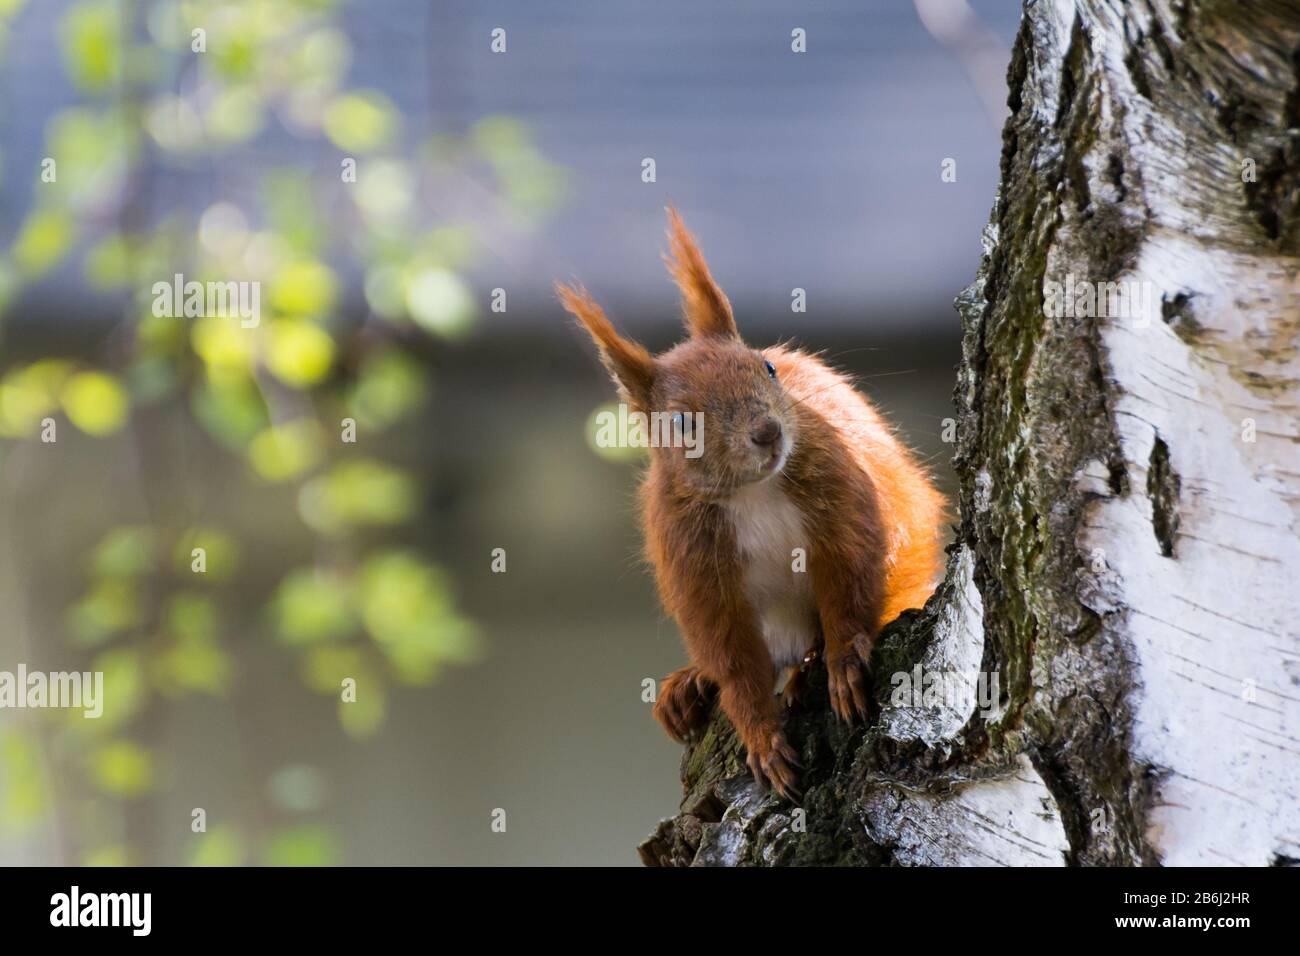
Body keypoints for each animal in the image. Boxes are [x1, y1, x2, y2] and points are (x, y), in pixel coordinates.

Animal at [558, 208, 946, 800]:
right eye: (682, 422)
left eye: (766, 368)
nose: (768, 432)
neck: (752, 491)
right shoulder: (694, 562)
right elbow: (732, 656)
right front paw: (760, 736)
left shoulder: (841, 499)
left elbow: (850, 579)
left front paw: (842, 661)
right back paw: (691, 685)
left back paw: (808, 668)